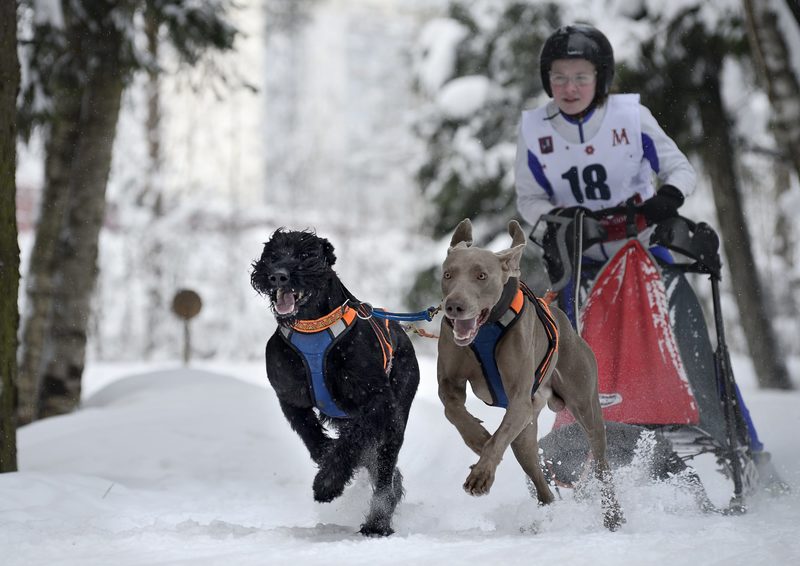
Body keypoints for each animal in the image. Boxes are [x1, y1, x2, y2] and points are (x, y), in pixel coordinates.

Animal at [253, 227, 422, 536]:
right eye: (271, 254)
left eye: (306, 254)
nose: (278, 275)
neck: (311, 328)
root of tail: (401, 329)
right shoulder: (290, 399)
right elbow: (312, 436)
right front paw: (326, 461)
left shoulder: (378, 401)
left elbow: (352, 440)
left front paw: (327, 483)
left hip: (396, 418)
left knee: (384, 472)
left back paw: (377, 524)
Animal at [438, 219, 624, 532]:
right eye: (448, 274)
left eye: (481, 275)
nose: (454, 306)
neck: (487, 326)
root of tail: (569, 325)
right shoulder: (449, 382)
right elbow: (453, 411)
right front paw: (478, 437)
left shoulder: (519, 400)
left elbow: (497, 438)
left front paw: (481, 475)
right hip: (526, 432)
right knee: (541, 485)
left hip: (585, 406)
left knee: (601, 464)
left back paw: (614, 516)